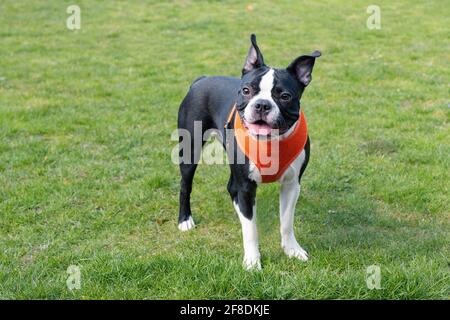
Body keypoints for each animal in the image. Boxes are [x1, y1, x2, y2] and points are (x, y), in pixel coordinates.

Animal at [176, 34, 320, 270]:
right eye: (246, 91)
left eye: (285, 96)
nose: (262, 104)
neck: (271, 142)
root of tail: (201, 80)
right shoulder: (245, 186)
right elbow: (251, 229)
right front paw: (252, 262)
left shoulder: (292, 184)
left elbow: (286, 222)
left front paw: (292, 249)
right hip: (189, 150)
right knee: (185, 185)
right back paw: (185, 220)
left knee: (230, 187)